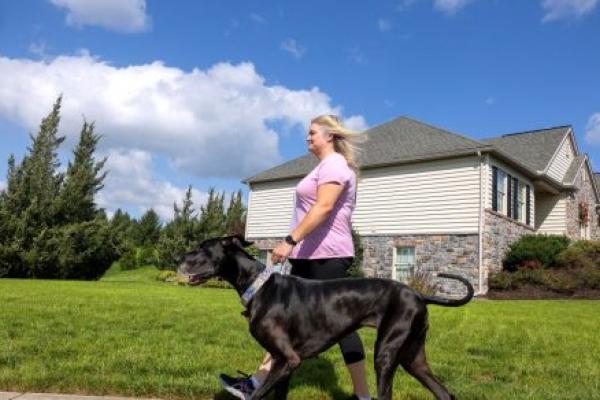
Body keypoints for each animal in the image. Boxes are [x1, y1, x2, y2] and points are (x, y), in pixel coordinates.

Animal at [178, 234, 474, 400]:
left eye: (203, 248)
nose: (178, 258)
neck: (258, 285)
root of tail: (419, 295)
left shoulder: (288, 359)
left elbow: (258, 396)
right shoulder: (282, 363)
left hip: (387, 353)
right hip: (413, 357)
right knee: (445, 393)